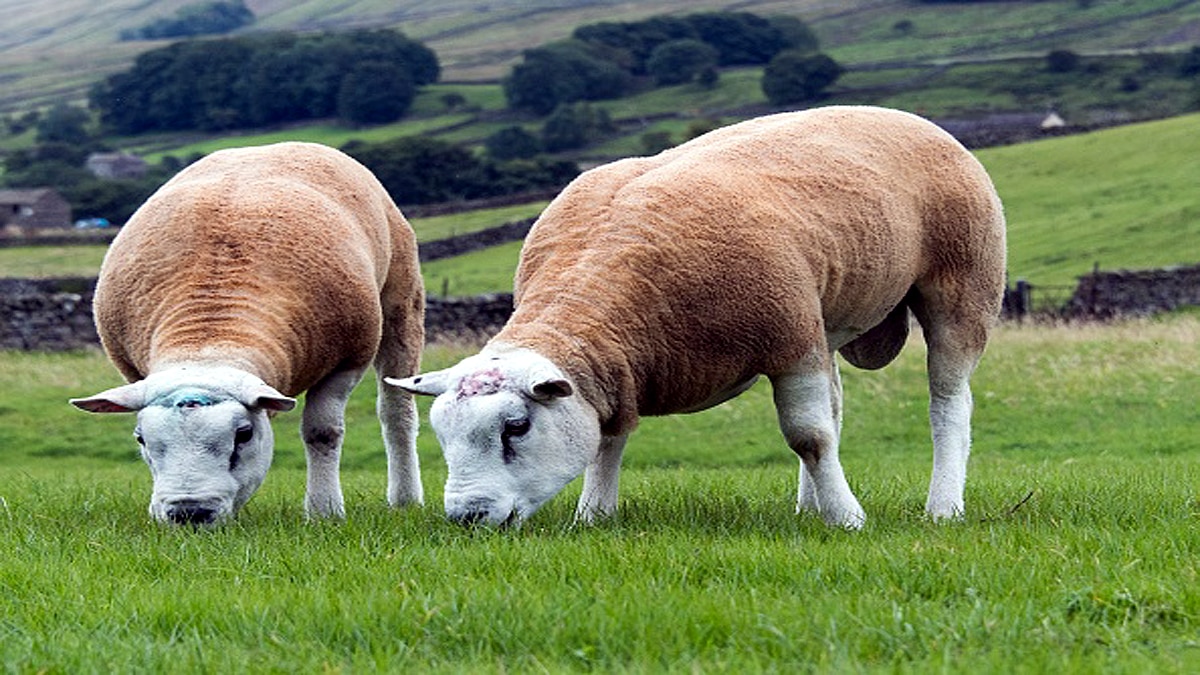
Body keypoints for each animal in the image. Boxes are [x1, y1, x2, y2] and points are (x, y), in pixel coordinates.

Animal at [71, 141, 425, 526]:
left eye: (243, 435)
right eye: (140, 439)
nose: (189, 512)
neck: (210, 334)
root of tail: (268, 146)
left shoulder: (348, 358)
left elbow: (322, 433)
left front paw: (324, 511)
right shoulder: (134, 372)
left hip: (402, 303)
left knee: (396, 413)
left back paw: (405, 499)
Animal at [392, 106, 1006, 530]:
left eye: (515, 427)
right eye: (440, 434)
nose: (467, 518)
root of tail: (899, 113)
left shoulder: (790, 341)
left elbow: (808, 437)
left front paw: (848, 520)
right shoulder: (615, 371)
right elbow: (608, 436)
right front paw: (594, 516)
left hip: (963, 284)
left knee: (948, 403)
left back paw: (942, 506)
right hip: (825, 316)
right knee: (836, 407)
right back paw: (809, 506)